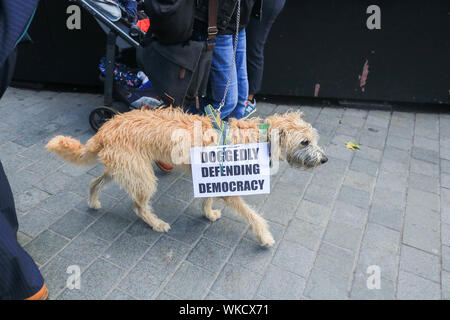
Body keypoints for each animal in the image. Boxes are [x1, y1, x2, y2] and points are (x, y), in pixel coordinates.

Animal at [45, 108, 326, 248]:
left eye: (313, 139)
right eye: (305, 142)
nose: (324, 160)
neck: (255, 138)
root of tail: (105, 128)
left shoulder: (213, 179)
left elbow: (208, 200)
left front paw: (208, 214)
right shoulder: (231, 188)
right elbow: (254, 215)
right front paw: (265, 237)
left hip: (124, 169)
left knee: (95, 183)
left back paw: (93, 202)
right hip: (143, 177)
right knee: (138, 206)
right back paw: (156, 224)